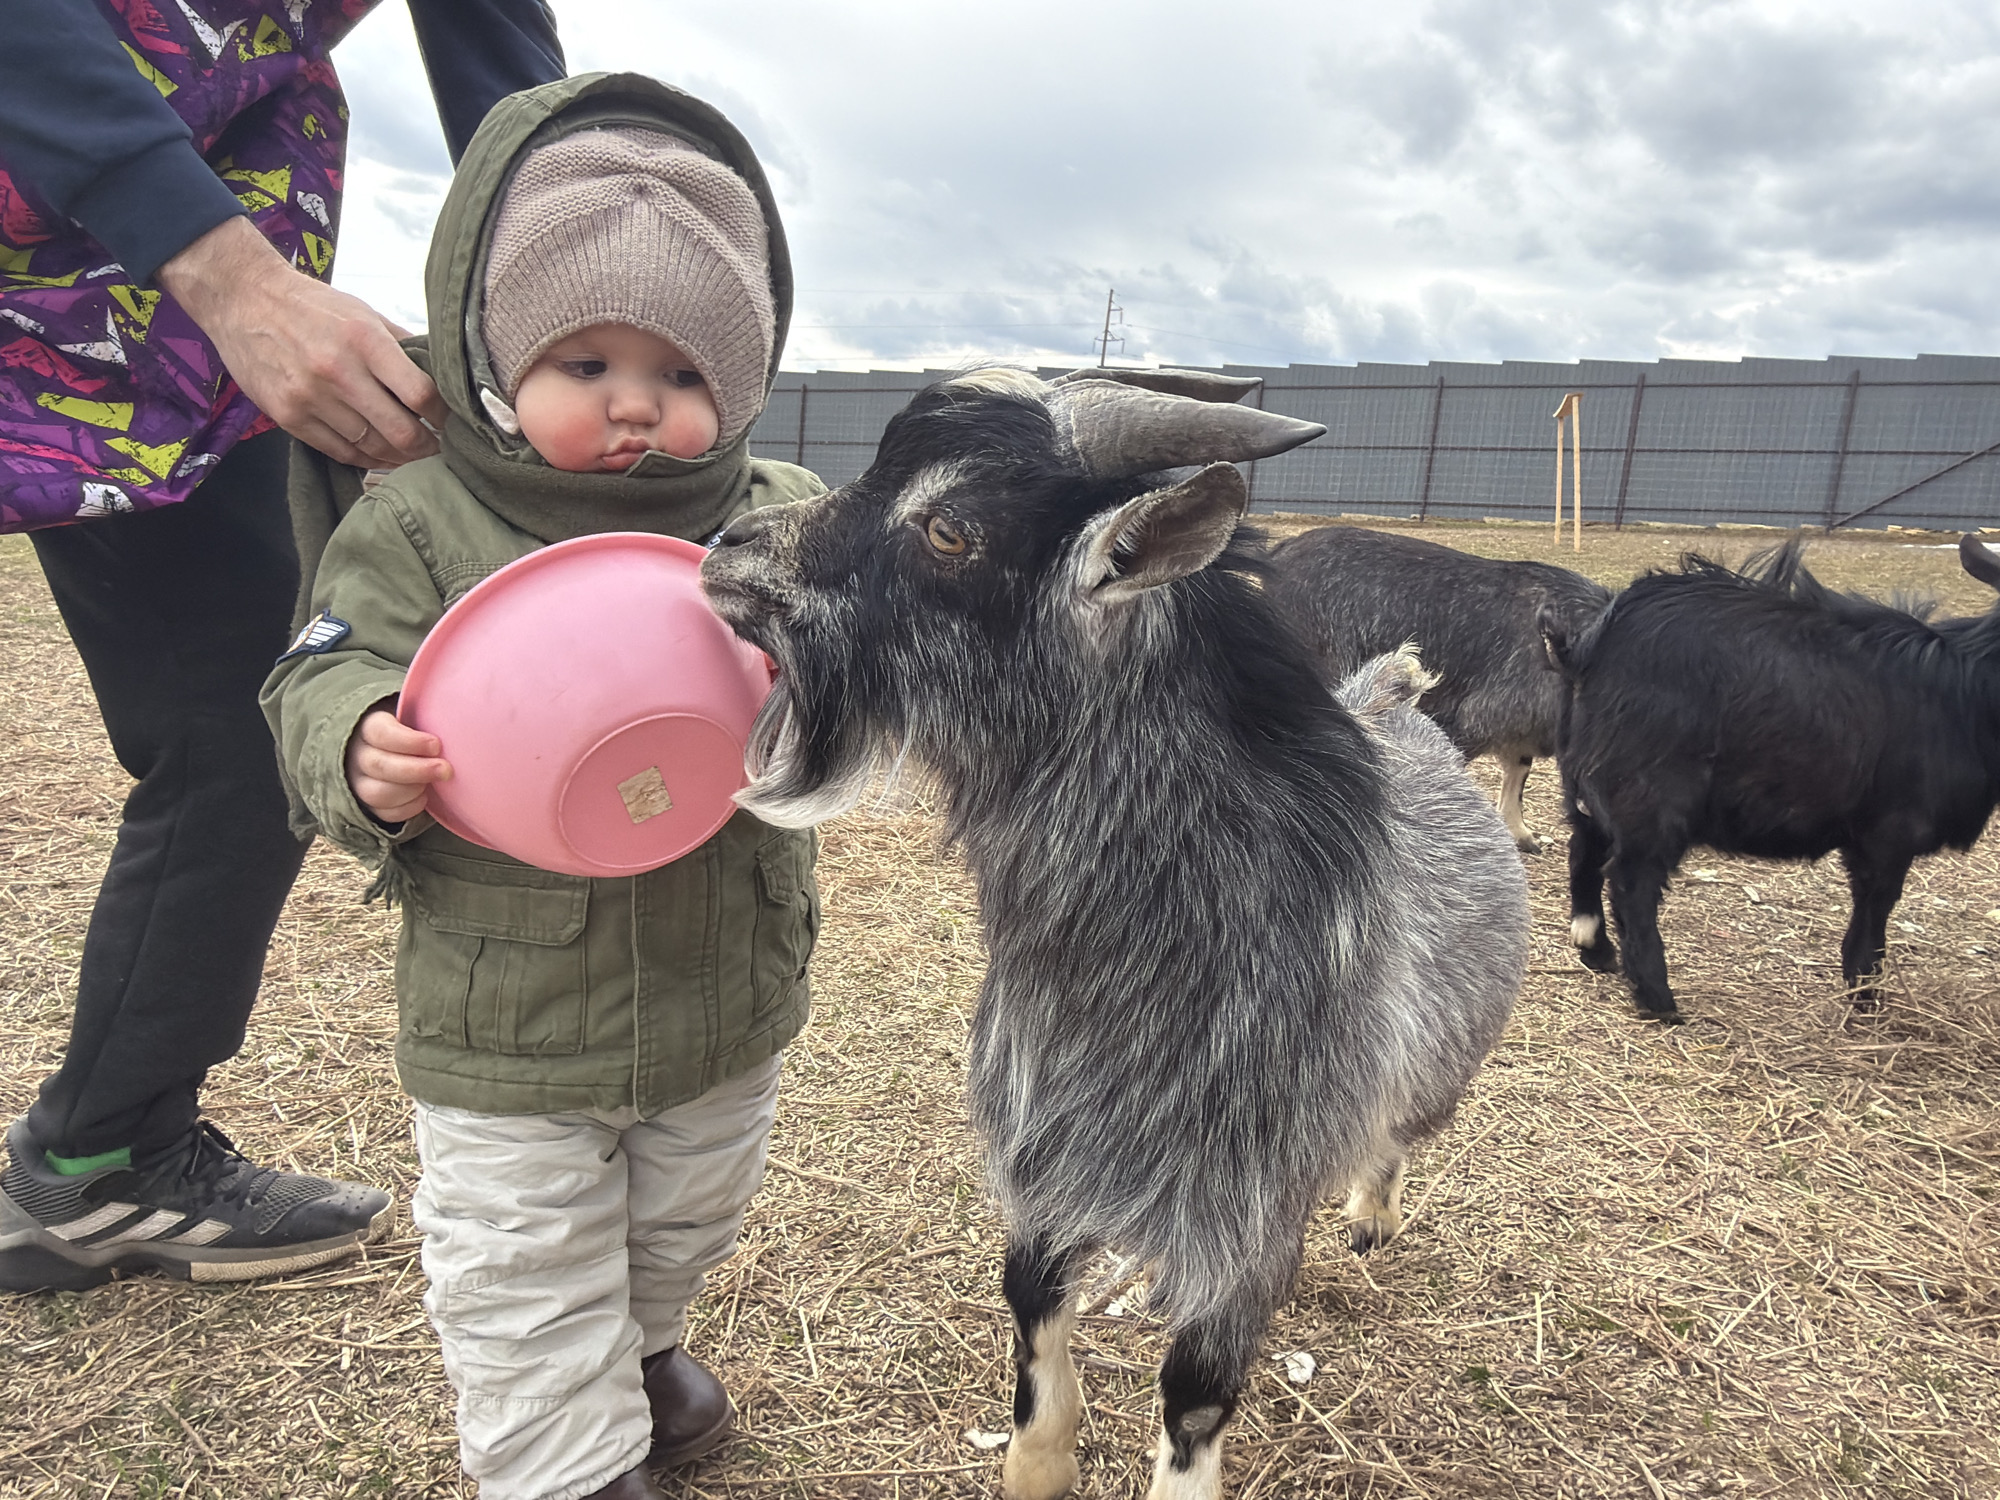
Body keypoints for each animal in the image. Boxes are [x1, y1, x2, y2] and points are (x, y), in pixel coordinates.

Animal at [701, 366, 1528, 1499]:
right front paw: (1037, 1464)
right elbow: (1028, 1299)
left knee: (1393, 1136)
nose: (728, 547)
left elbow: (1197, 1391)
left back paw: (1371, 1214)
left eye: (950, 529)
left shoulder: (1247, 1207)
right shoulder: (1049, 1149)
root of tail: (1391, 697)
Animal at [1546, 534, 2000, 1022]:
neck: (1962, 692)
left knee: (1584, 849)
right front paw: (1865, 998)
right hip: (1652, 795)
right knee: (1631, 880)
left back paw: (1596, 951)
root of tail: (1588, 646)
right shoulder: (1889, 834)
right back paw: (1659, 1001)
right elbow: (1873, 913)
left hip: (1586, 783)